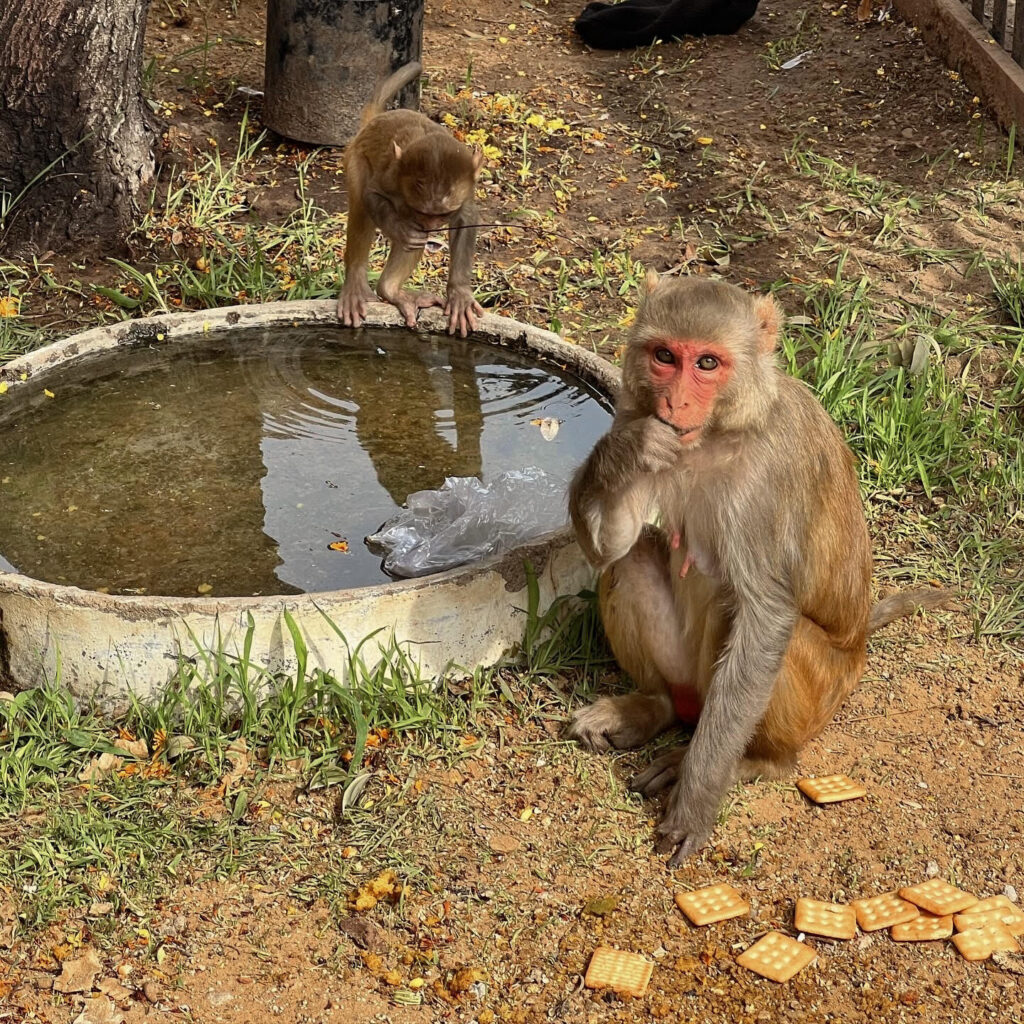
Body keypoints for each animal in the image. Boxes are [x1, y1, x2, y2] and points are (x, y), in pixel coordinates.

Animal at [337, 60, 485, 335]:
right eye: (423, 211)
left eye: (443, 214)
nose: (430, 223)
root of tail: (377, 118)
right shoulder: (392, 177)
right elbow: (370, 195)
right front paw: (403, 230)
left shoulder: (466, 191)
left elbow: (466, 219)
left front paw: (459, 294)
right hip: (354, 155)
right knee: (363, 205)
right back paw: (360, 284)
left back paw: (390, 290)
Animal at [565, 272, 946, 864]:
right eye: (664, 356)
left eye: (707, 363)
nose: (675, 401)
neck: (722, 430)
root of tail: (860, 644)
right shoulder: (635, 412)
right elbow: (612, 545)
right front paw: (627, 448)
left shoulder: (769, 474)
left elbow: (766, 614)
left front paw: (694, 803)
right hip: (686, 681)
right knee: (634, 558)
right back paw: (652, 709)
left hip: (817, 694)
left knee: (748, 619)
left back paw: (751, 761)